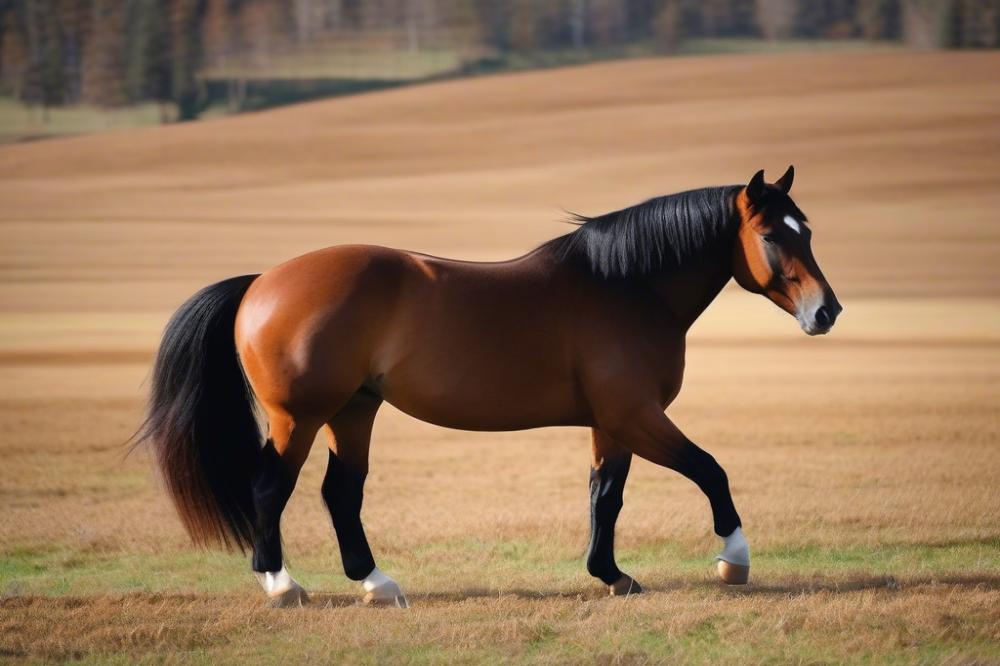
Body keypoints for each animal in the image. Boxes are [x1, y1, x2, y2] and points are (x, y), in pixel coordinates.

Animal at [137, 166, 841, 607]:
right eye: (772, 234)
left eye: (808, 229)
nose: (827, 312)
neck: (625, 288)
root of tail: (262, 281)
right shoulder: (636, 415)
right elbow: (710, 470)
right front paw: (734, 559)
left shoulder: (610, 423)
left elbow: (606, 496)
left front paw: (610, 574)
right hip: (300, 418)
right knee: (270, 489)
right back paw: (283, 586)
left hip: (353, 411)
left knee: (341, 494)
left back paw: (378, 584)